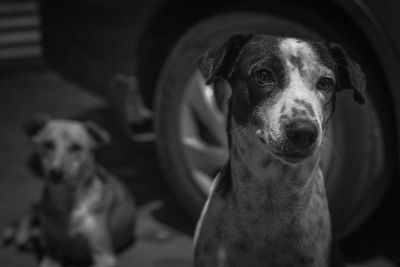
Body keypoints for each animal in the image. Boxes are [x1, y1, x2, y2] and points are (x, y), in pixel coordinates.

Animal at [2, 116, 138, 267]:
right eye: (48, 144)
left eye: (76, 147)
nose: (55, 173)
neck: (68, 200)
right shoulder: (53, 252)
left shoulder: (103, 254)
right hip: (40, 204)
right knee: (31, 212)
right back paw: (21, 234)